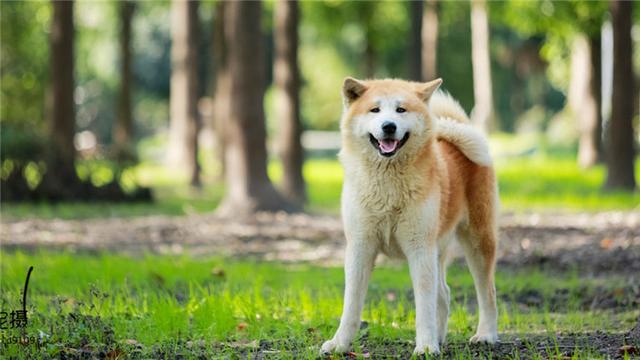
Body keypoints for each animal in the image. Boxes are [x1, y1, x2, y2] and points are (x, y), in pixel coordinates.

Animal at [320, 77, 500, 356]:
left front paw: (425, 346)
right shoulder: (360, 247)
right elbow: (351, 306)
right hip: (439, 249)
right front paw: (339, 344)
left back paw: (485, 335)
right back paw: (440, 337)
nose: (389, 126)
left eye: (401, 110)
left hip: (477, 241)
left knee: (487, 293)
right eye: (375, 110)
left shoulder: (419, 249)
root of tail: (455, 136)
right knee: (444, 294)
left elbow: (424, 306)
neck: (387, 186)